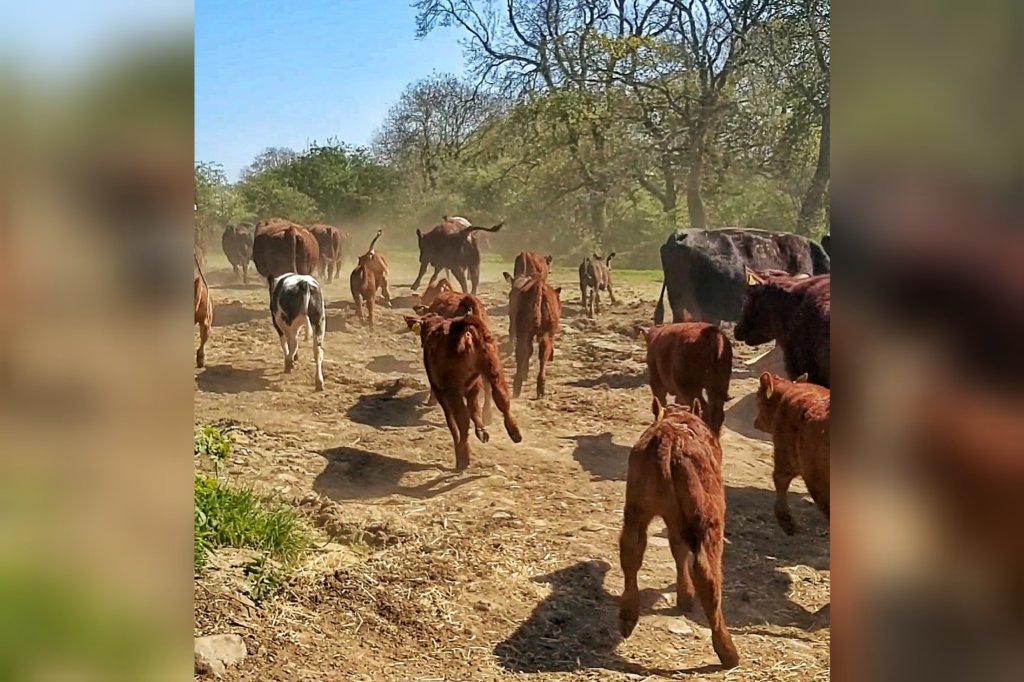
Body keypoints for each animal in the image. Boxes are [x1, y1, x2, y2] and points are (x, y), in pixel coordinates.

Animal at [404, 312, 523, 470]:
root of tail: (465, 332)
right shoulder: (474, 386)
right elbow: (474, 408)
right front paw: (481, 431)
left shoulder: (441, 391)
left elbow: (453, 421)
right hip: (494, 368)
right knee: (502, 397)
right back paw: (514, 432)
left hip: (452, 390)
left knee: (462, 418)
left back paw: (463, 455)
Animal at [619, 400, 739, 669]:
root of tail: (669, 439)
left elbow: (677, 550)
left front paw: (684, 597)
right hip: (709, 521)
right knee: (707, 575)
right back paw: (728, 652)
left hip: (635, 511)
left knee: (630, 554)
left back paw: (627, 618)